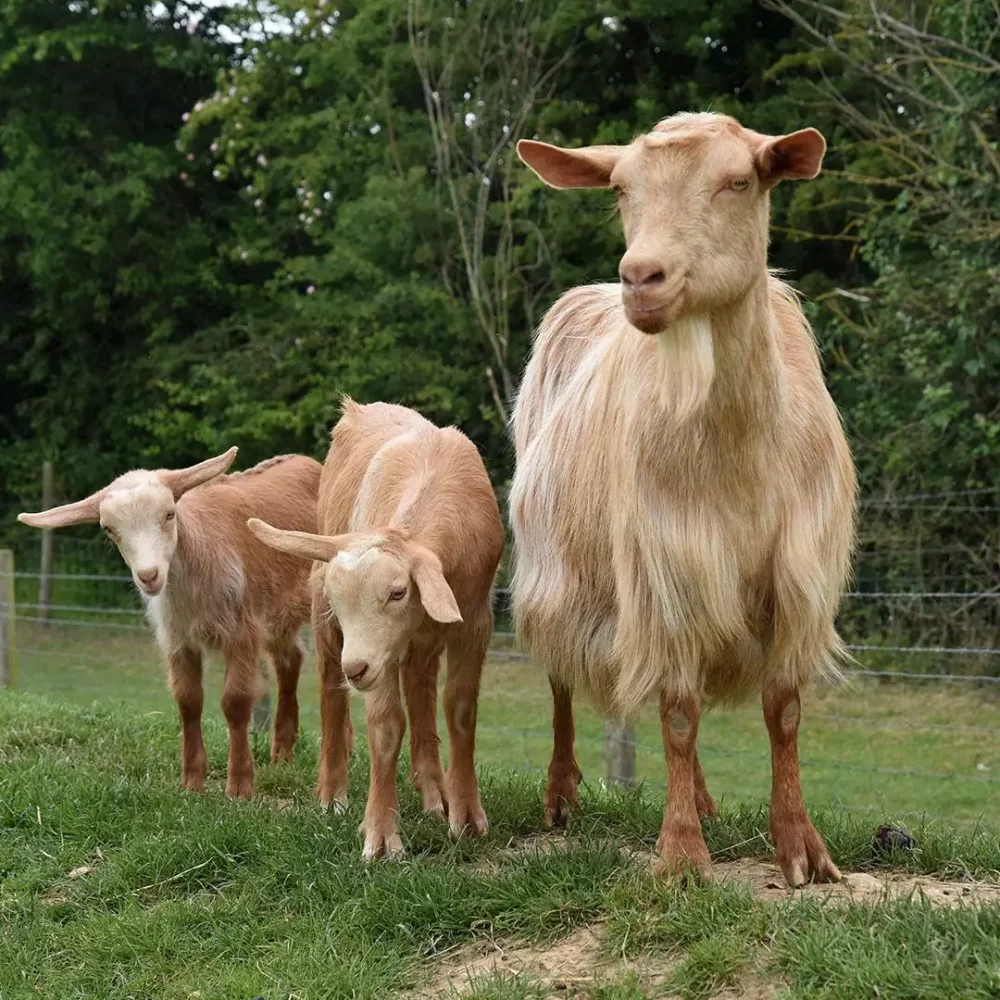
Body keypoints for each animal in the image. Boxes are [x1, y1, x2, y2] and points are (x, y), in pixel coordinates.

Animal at [19, 450, 322, 799]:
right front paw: (192, 783)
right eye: (109, 529)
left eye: (169, 514)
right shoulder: (178, 638)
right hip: (277, 615)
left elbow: (234, 701)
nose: (149, 576)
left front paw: (240, 786)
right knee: (290, 660)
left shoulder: (241, 631)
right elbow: (188, 701)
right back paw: (282, 754)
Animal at [247, 400, 504, 859]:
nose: (357, 669)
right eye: (338, 597)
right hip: (329, 623)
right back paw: (333, 795)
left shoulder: (475, 621)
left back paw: (434, 793)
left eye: (398, 592)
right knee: (331, 692)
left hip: (416, 641)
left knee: (420, 687)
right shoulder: (376, 650)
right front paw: (381, 835)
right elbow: (385, 725)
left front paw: (467, 816)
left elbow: (460, 710)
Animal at [511, 112, 856, 886]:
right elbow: (676, 714)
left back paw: (701, 800)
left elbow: (783, 712)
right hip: (558, 567)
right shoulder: (665, 566)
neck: (742, 457)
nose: (642, 276)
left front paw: (801, 846)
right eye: (619, 188)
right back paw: (560, 794)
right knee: (559, 677)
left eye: (738, 180)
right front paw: (680, 857)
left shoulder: (796, 576)